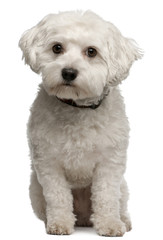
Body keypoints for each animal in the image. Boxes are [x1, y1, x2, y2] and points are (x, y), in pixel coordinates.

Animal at [18, 10, 141, 236]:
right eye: (57, 48)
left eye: (91, 52)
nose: (68, 72)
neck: (77, 108)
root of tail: (84, 217)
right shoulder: (48, 163)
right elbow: (58, 197)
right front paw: (59, 223)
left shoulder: (109, 164)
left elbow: (106, 196)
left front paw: (110, 224)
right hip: (34, 190)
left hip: (123, 187)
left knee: (120, 203)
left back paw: (124, 221)